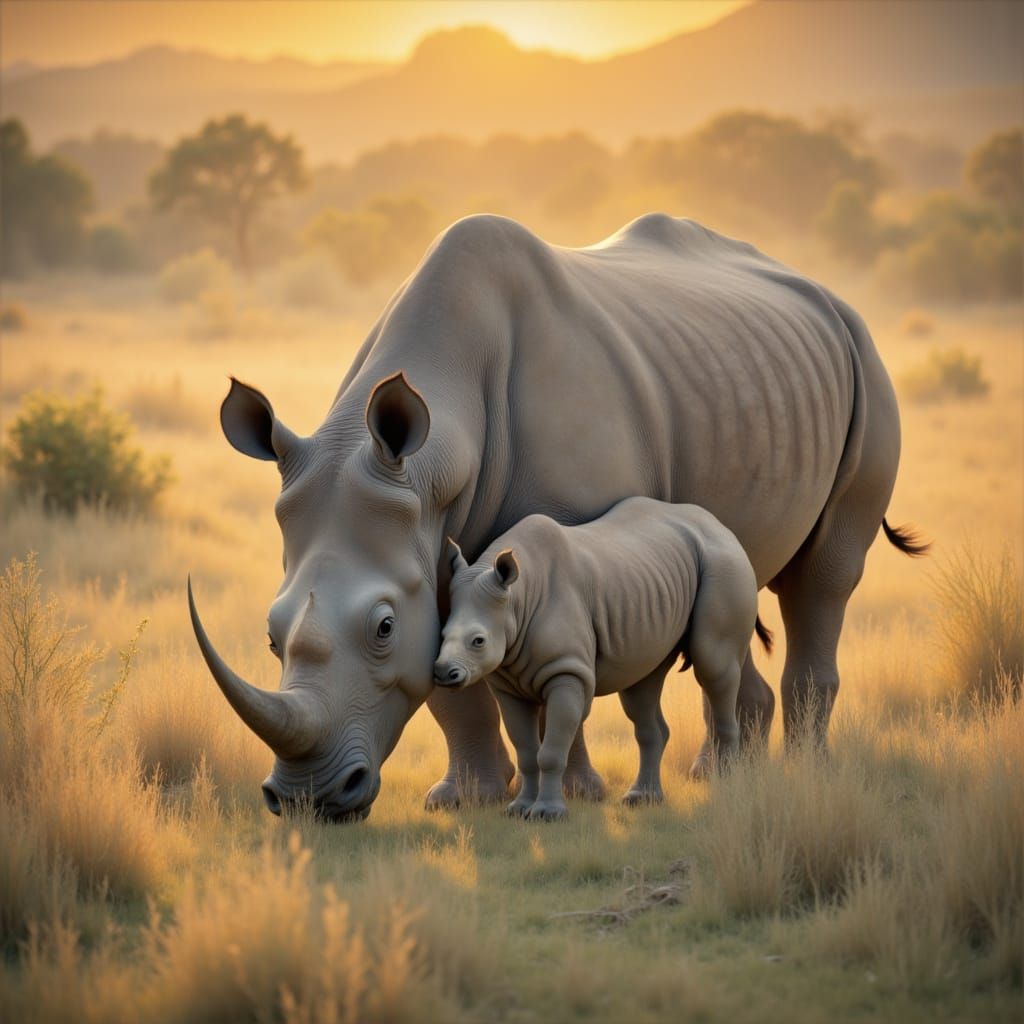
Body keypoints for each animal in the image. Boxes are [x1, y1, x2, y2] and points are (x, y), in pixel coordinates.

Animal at [433, 499, 771, 820]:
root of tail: (721, 527)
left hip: (723, 563)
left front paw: (547, 814)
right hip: (650, 585)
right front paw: (518, 809)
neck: (517, 598)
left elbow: (551, 751)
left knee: (713, 666)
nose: (443, 674)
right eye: (442, 634)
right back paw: (641, 799)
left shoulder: (567, 671)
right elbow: (527, 753)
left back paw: (725, 788)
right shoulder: (507, 683)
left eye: (478, 641)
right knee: (642, 686)